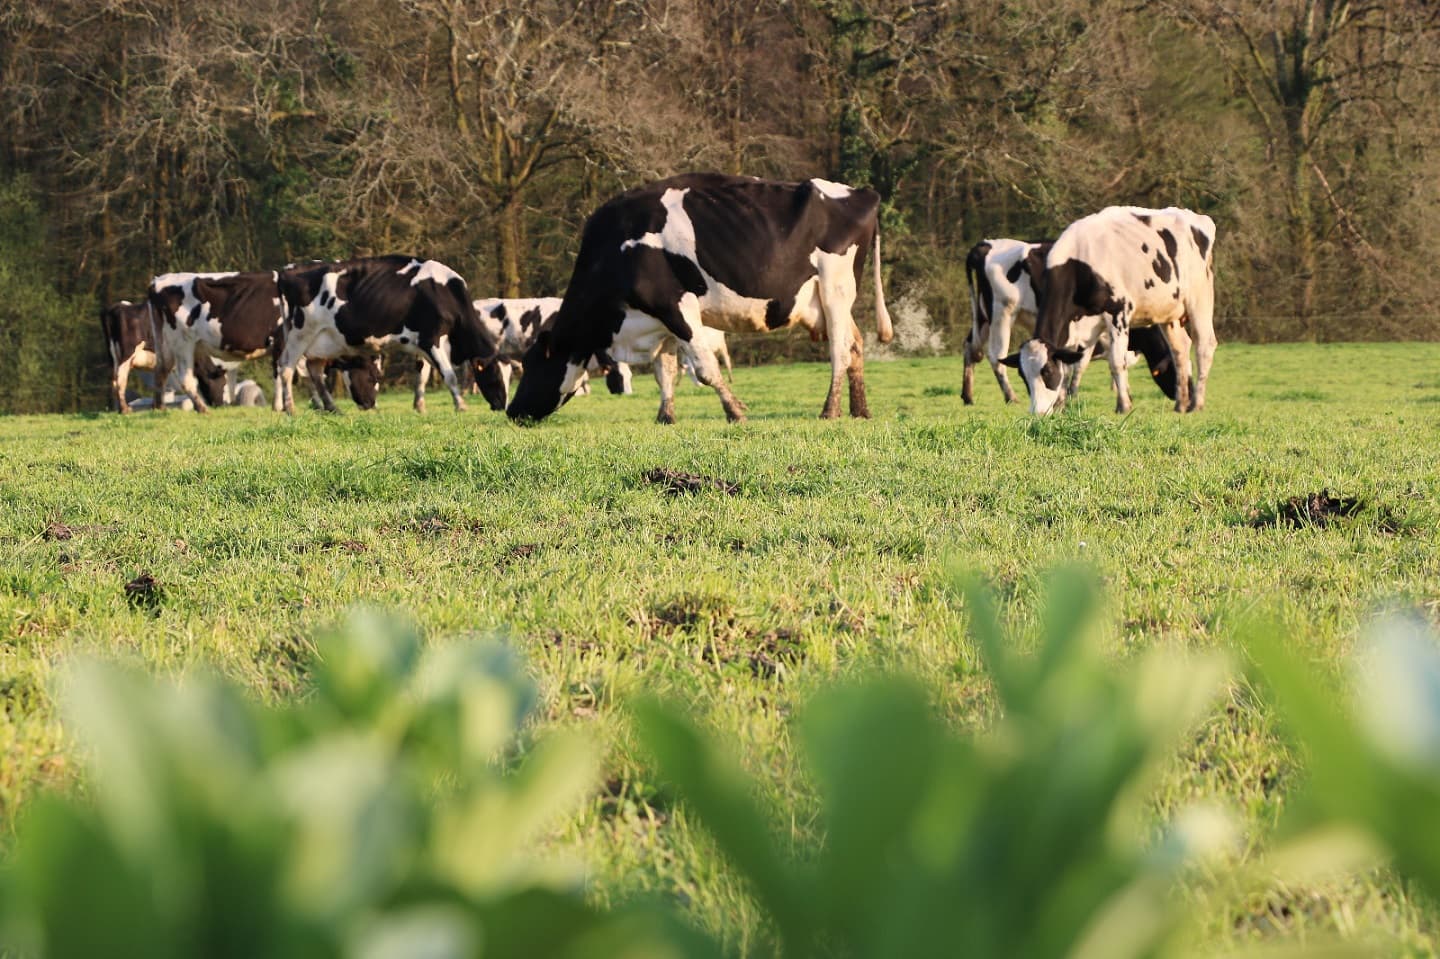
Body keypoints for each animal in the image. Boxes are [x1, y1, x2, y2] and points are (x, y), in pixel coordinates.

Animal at [146, 271, 285, 413]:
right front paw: (279, 407)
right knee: (184, 379)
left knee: (161, 369)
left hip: (164, 341)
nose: (218, 403)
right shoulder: (281, 341)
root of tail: (158, 281)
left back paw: (159, 408)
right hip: (182, 341)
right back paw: (202, 409)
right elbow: (280, 374)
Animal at [274, 256, 496, 415]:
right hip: (300, 335)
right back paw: (290, 408)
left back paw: (332, 408)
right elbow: (448, 374)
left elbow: (423, 375)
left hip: (320, 343)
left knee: (315, 372)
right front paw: (461, 405)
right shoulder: (431, 338)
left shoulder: (423, 343)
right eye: (495, 376)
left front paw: (420, 406)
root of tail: (288, 272)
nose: (499, 406)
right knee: (286, 368)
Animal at [506, 172, 893, 424]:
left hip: (835, 290)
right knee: (857, 345)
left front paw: (736, 411)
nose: (512, 411)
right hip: (825, 303)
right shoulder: (659, 321)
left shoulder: (677, 308)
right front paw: (665, 416)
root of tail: (862, 192)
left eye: (534, 364)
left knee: (840, 350)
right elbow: (665, 372)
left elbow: (706, 369)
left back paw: (830, 411)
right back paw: (861, 410)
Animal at [1006, 206, 1216, 415]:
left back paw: (1197, 403)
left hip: (1200, 297)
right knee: (1180, 349)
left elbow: (1116, 361)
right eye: (1023, 376)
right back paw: (1181, 403)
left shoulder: (1118, 311)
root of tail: (1196, 217)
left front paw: (1123, 405)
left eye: (1047, 371)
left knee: (1204, 345)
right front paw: (1061, 406)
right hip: (1168, 310)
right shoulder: (1083, 329)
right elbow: (1071, 367)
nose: (1037, 413)